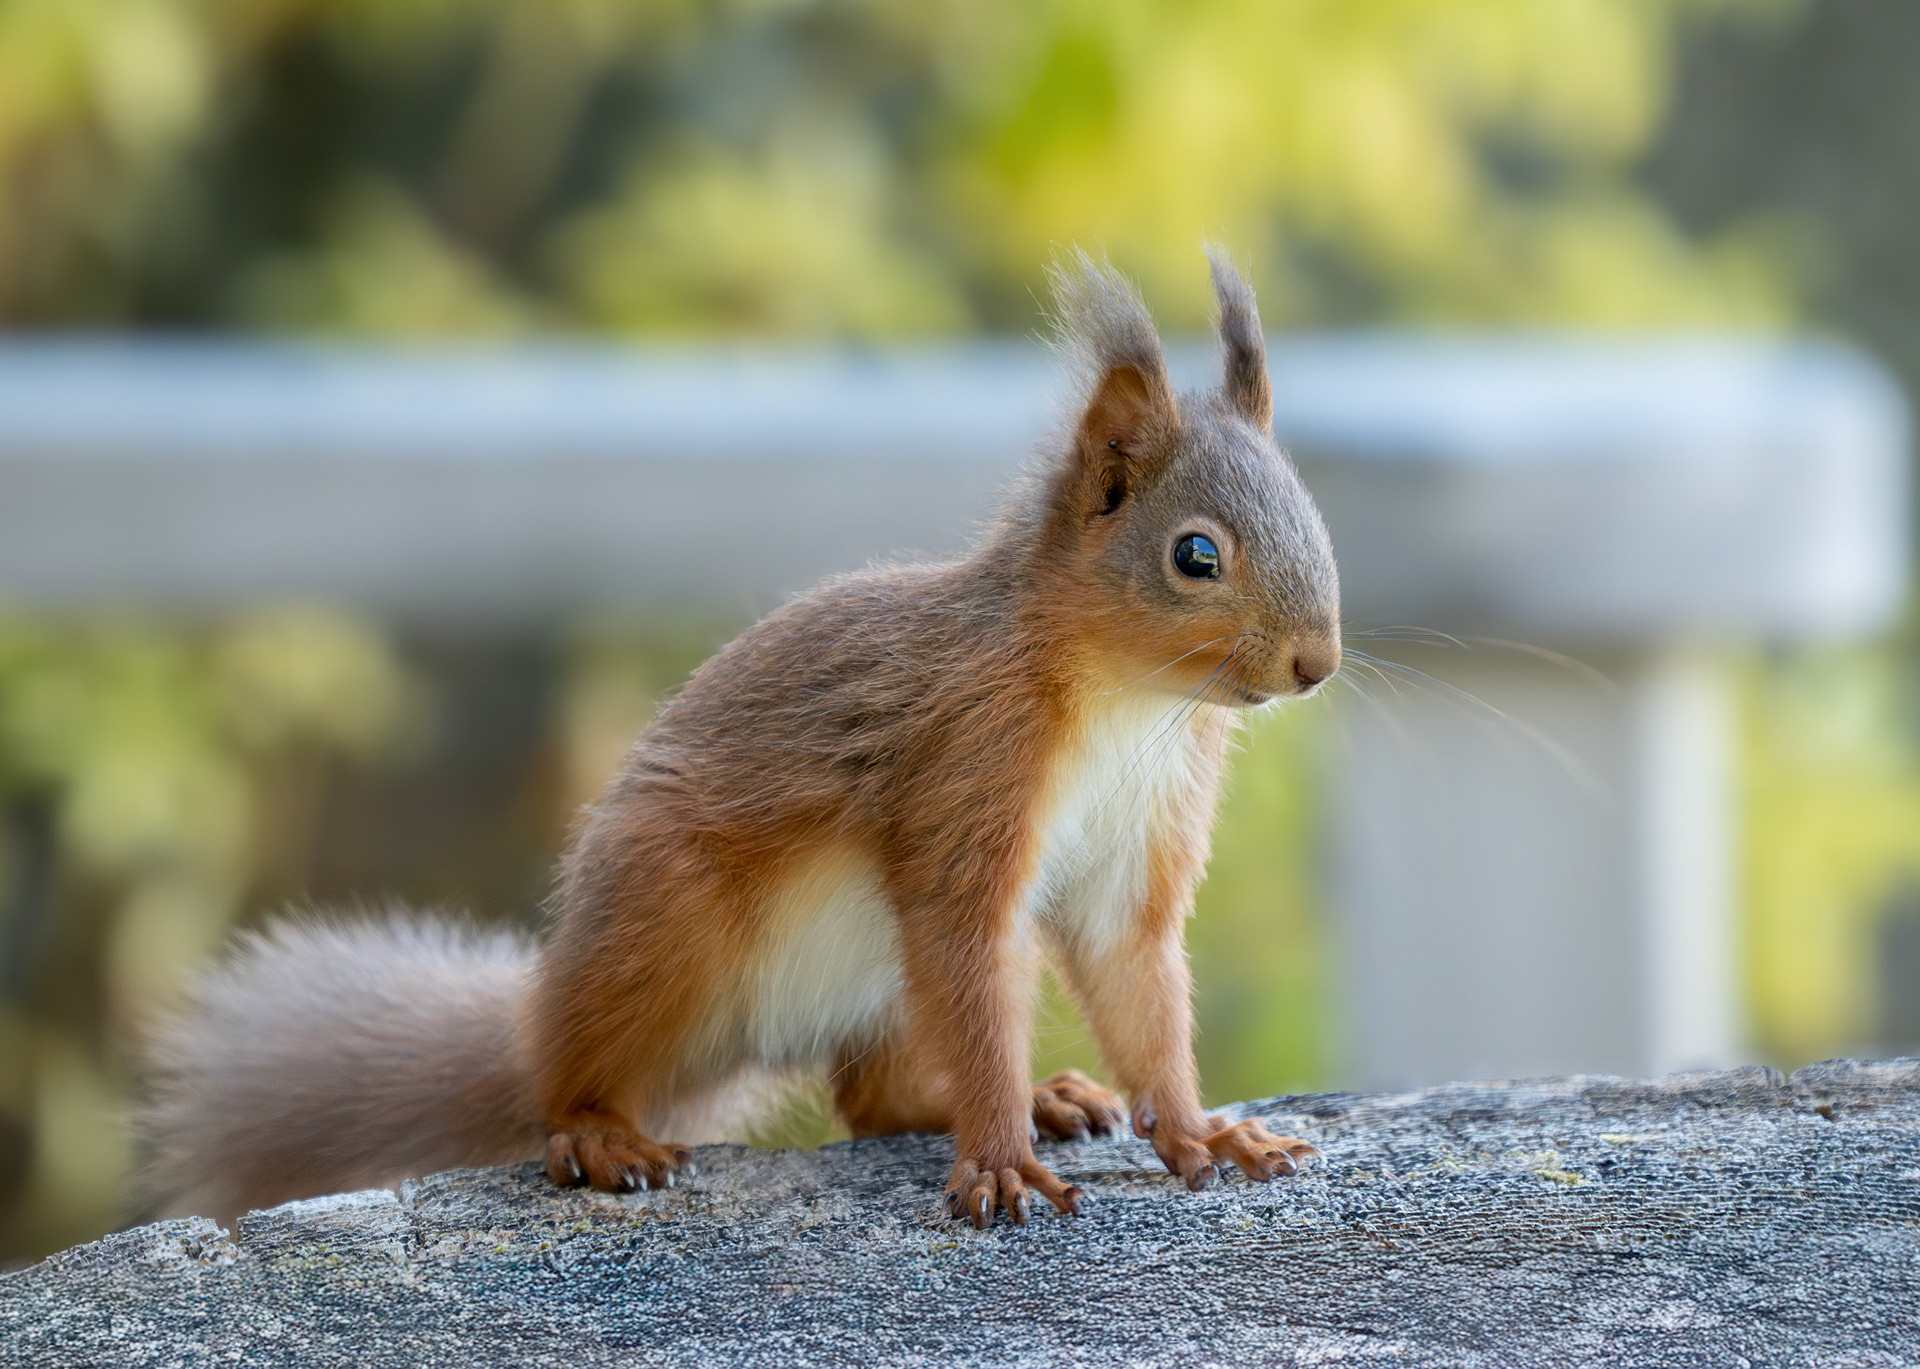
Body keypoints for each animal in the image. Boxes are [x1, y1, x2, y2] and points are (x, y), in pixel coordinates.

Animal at [142, 248, 1341, 1230]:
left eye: (1314, 517)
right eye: (1195, 554)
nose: (1315, 665)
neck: (1130, 703)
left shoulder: (1135, 849)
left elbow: (1139, 985)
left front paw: (1202, 1132)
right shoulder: (964, 770)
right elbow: (966, 941)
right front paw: (999, 1161)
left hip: (872, 992)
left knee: (873, 1098)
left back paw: (1042, 1097)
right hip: (666, 917)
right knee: (573, 1081)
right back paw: (599, 1133)